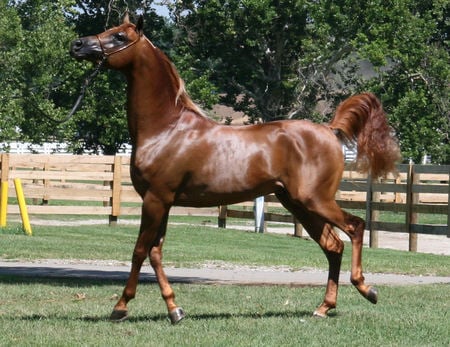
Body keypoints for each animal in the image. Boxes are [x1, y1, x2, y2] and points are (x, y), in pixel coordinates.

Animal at [70, 15, 400, 326]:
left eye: (119, 36)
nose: (77, 45)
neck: (166, 128)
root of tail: (330, 131)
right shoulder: (162, 202)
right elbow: (155, 252)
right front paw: (175, 309)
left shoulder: (155, 199)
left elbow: (139, 250)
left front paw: (120, 307)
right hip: (299, 205)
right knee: (333, 246)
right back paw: (323, 307)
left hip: (315, 201)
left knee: (355, 227)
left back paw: (367, 289)